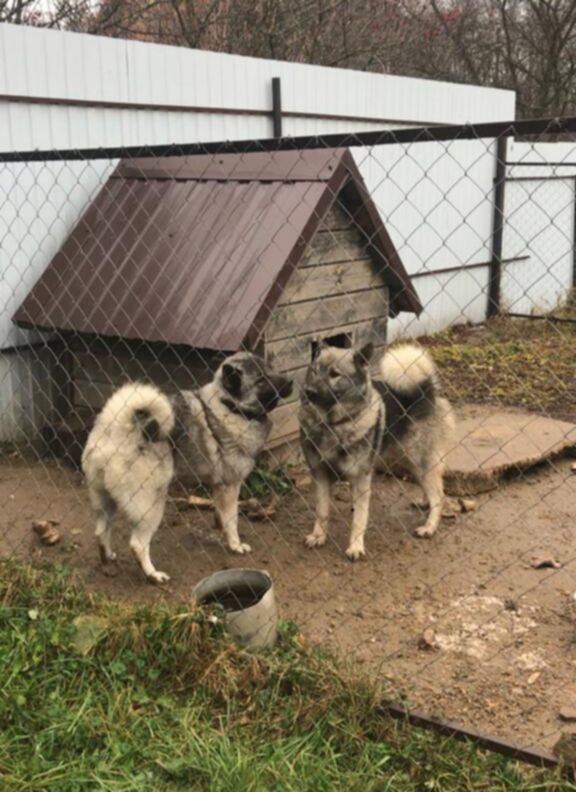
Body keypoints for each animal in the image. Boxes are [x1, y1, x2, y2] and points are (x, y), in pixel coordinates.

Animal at [82, 352, 292, 580]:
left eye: (270, 369)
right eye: (261, 379)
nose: (290, 381)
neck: (228, 405)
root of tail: (118, 427)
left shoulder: (218, 487)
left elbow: (220, 515)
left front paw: (220, 528)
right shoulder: (230, 486)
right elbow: (232, 520)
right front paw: (235, 545)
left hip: (105, 502)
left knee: (101, 531)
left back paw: (108, 558)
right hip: (151, 505)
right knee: (137, 544)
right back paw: (153, 575)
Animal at [302, 344, 454, 560]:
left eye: (334, 374)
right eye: (314, 371)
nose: (308, 391)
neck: (333, 425)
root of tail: (426, 390)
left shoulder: (361, 479)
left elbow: (359, 518)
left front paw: (356, 547)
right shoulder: (321, 475)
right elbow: (322, 511)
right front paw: (318, 536)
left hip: (421, 462)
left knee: (439, 495)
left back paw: (429, 527)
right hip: (411, 463)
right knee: (431, 490)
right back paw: (424, 504)